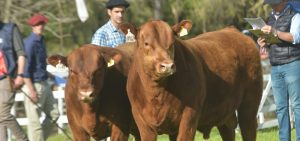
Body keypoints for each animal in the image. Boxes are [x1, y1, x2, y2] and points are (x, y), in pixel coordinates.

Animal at [126, 20, 262, 141]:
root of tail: (231, 30)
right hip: (224, 111)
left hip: (249, 105)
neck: (156, 93)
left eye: (172, 43)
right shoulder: (142, 121)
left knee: (248, 129)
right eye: (146, 43)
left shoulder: (190, 115)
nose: (168, 66)